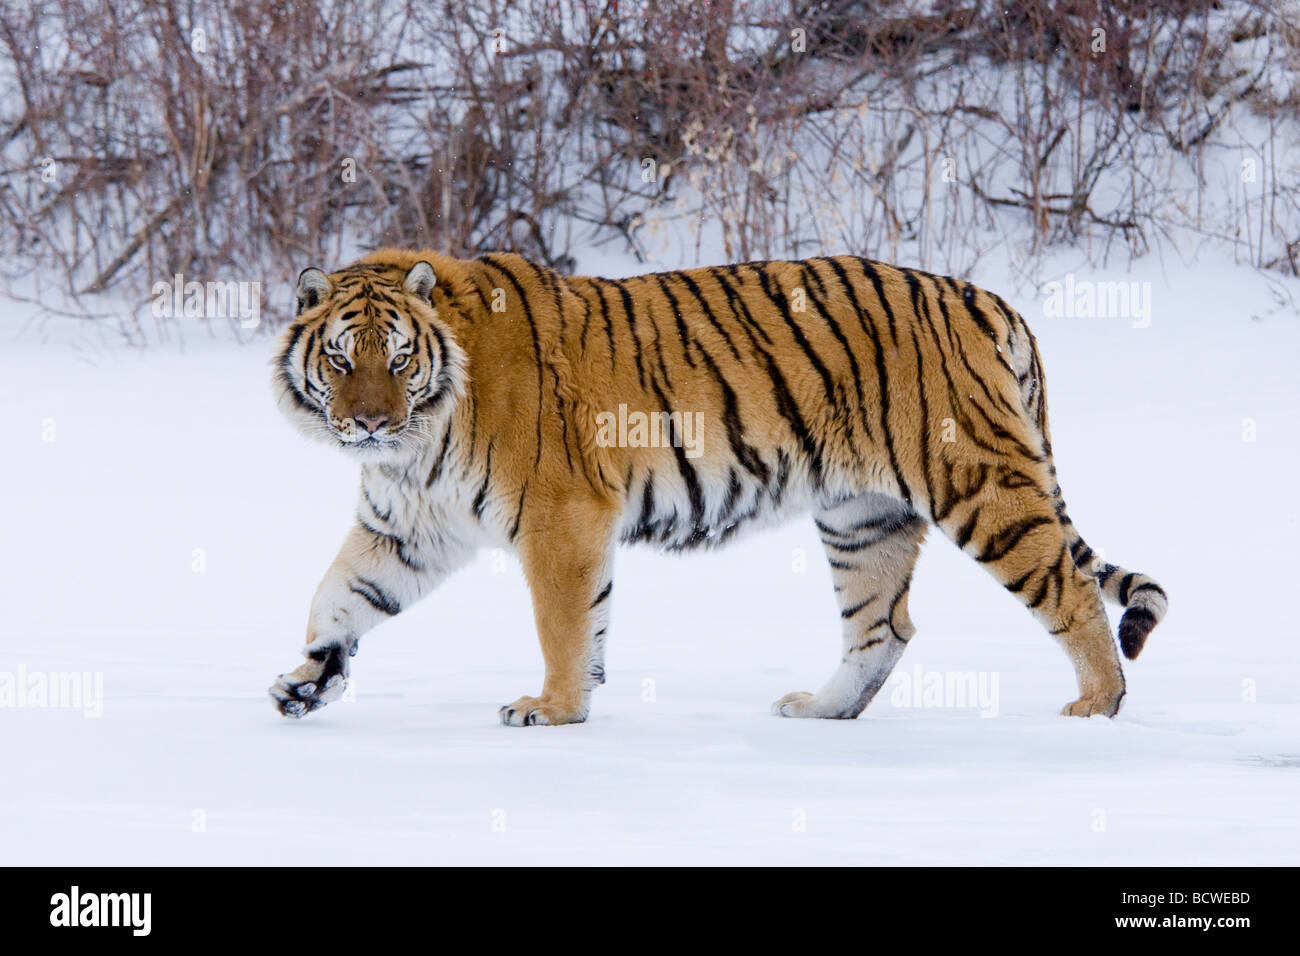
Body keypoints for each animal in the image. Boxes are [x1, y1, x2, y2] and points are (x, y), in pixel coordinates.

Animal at [266, 247, 1170, 723]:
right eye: (341, 360)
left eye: (399, 360)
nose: (368, 423)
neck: (416, 444)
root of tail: (985, 298)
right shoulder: (407, 528)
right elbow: (339, 595)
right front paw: (307, 681)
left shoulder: (561, 518)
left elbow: (561, 625)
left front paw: (551, 710)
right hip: (861, 517)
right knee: (884, 626)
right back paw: (820, 711)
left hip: (979, 486)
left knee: (1070, 591)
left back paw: (1095, 709)